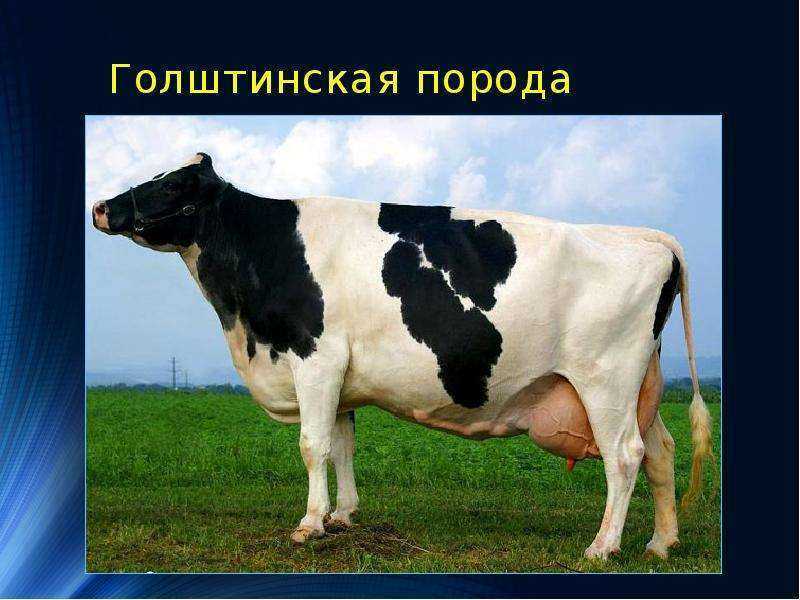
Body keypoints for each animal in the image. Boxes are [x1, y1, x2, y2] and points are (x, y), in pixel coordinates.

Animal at [91, 153, 713, 560]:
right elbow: (342, 444)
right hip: (642, 383)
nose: (100, 206)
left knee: (625, 456)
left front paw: (310, 525)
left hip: (605, 378)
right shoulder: (340, 376)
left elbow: (313, 445)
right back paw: (661, 543)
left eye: (172, 186)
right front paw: (343, 516)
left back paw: (602, 547)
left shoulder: (314, 357)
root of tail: (644, 236)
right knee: (661, 451)